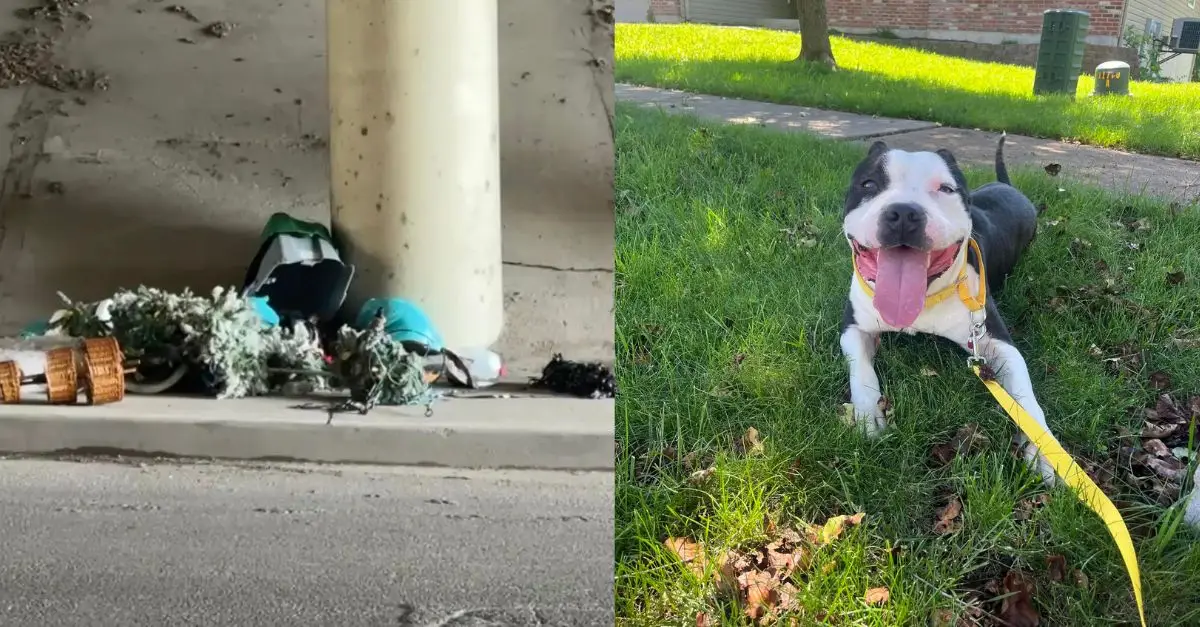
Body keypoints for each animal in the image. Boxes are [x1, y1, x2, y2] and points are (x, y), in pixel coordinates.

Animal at [835, 133, 1060, 480]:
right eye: (869, 184)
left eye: (945, 188)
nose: (903, 213)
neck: (925, 297)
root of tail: (1006, 185)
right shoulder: (854, 326)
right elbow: (860, 369)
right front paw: (867, 413)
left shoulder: (994, 342)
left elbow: (1026, 397)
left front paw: (1044, 449)